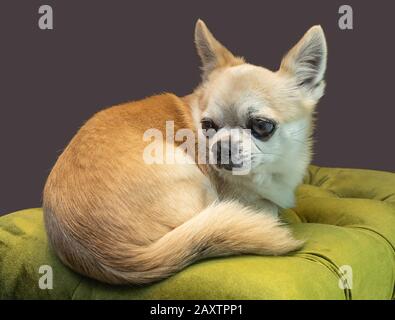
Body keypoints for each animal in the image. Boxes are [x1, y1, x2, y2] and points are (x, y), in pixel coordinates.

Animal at [42, 20, 328, 284]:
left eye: (261, 126)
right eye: (207, 125)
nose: (221, 147)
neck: (272, 167)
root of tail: (115, 255)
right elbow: (270, 207)